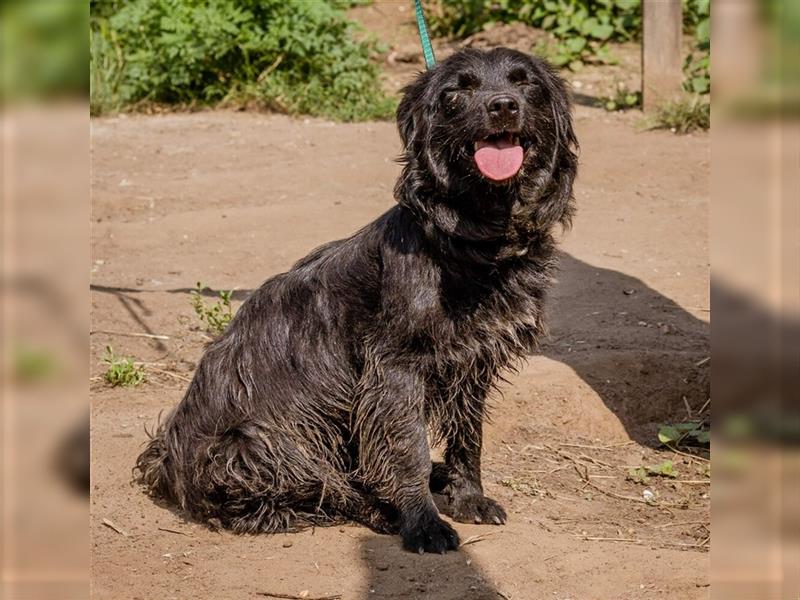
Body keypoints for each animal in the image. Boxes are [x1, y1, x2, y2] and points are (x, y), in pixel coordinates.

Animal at [136, 49, 576, 556]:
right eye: (456, 92)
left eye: (525, 83)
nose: (502, 105)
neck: (471, 244)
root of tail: (166, 461)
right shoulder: (394, 368)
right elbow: (407, 449)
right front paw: (423, 521)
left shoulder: (473, 362)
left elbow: (468, 437)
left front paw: (468, 497)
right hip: (254, 443)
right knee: (319, 488)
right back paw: (383, 509)